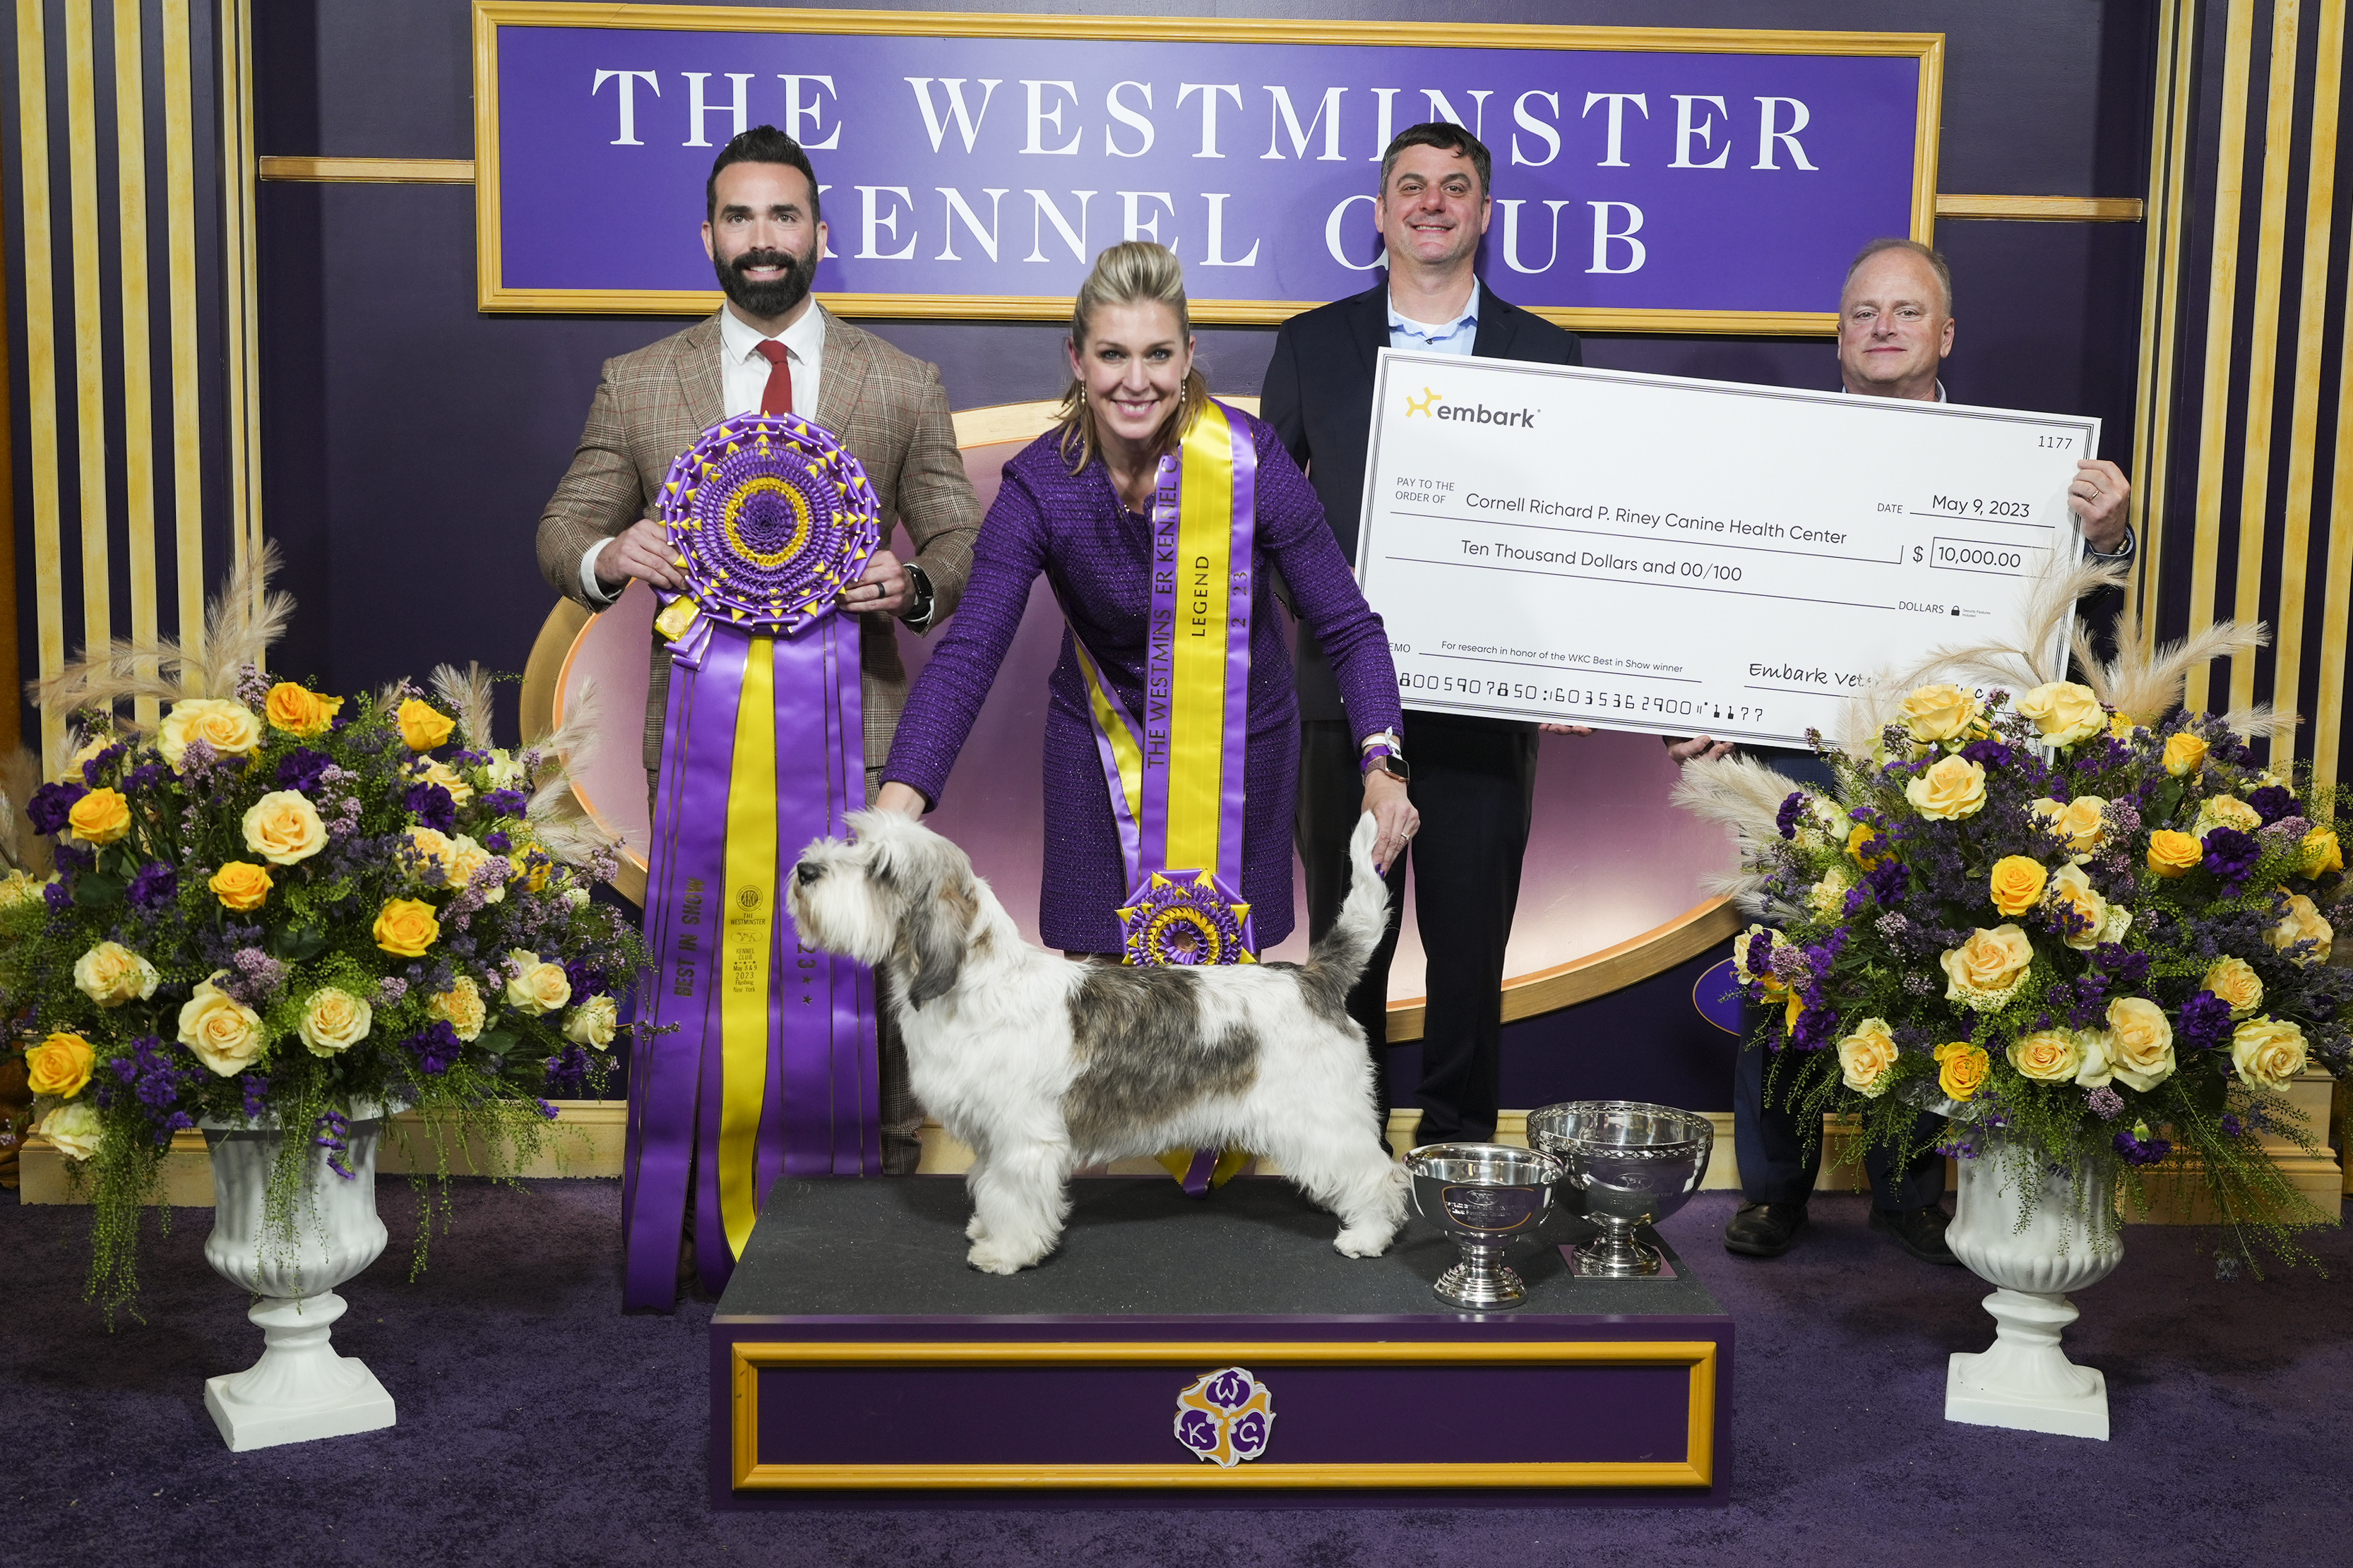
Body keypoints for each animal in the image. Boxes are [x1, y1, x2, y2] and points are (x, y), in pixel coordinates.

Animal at [790, 808, 1412, 1279]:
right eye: (856, 841)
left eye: (880, 869)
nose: (803, 869)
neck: (979, 984)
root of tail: (1313, 977)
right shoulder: (993, 1136)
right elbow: (988, 1185)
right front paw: (986, 1228)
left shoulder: (1024, 1139)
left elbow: (1014, 1193)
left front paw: (1005, 1251)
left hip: (1321, 1113)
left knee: (1381, 1172)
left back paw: (1368, 1234)